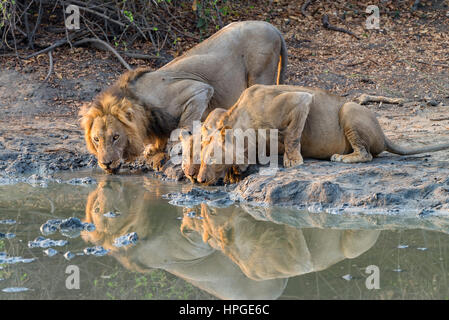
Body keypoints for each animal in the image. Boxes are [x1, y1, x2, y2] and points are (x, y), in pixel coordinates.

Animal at [79, 21, 288, 174]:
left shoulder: (199, 90)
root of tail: (272, 27)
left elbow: (184, 123)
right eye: (96, 139)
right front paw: (154, 150)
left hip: (260, 73)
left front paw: (176, 146)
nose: (105, 163)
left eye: (115, 137)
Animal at [197, 84, 449, 185]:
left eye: (210, 158)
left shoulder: (299, 99)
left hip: (348, 109)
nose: (198, 179)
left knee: (366, 154)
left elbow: (293, 134)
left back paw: (341, 157)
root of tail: (383, 134)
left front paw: (293, 161)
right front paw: (234, 172)